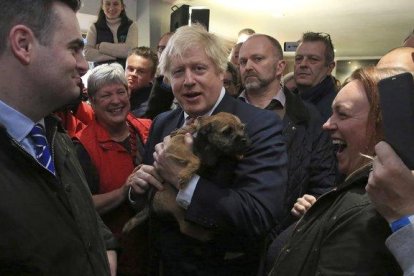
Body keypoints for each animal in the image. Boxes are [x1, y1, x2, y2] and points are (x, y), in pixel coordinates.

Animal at [121, 111, 251, 240]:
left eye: (242, 128)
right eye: (226, 132)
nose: (244, 140)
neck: (207, 144)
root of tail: (149, 205)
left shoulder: (210, 158)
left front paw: (238, 154)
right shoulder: (176, 145)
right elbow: (196, 159)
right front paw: (185, 175)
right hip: (172, 201)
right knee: (186, 228)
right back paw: (212, 234)